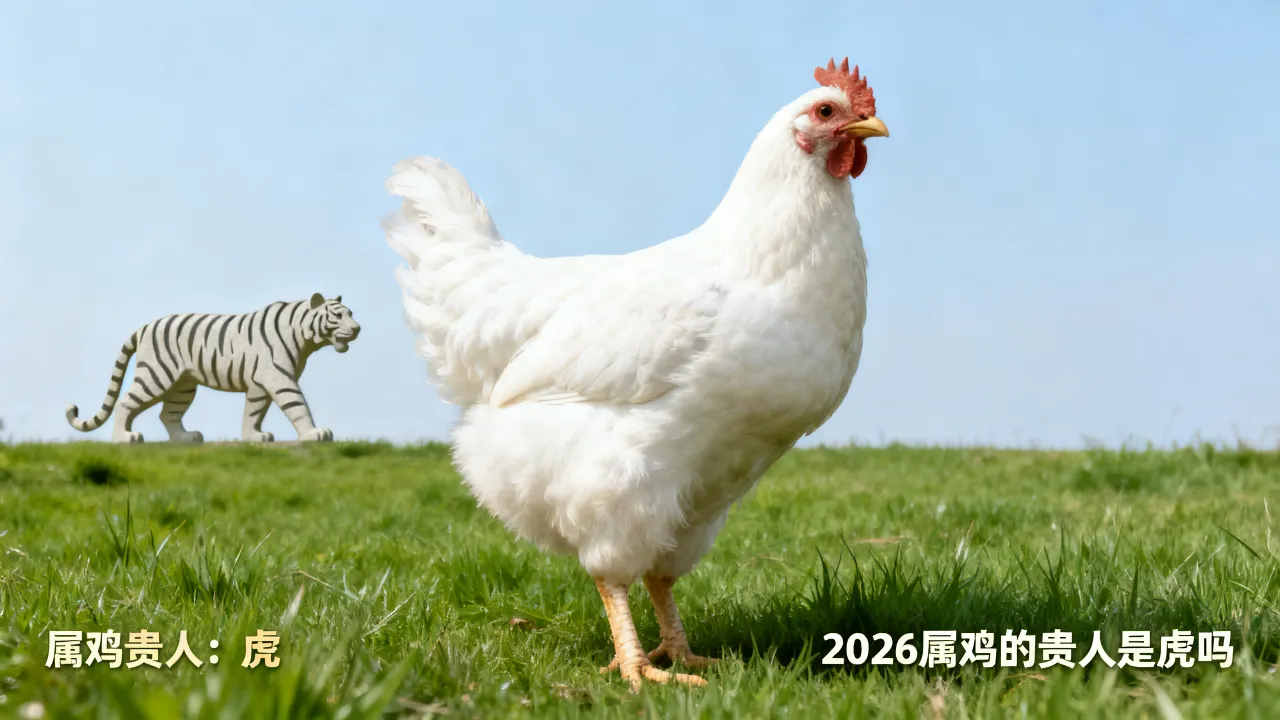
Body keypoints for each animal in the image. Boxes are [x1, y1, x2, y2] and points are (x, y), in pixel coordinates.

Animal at [66, 293, 360, 443]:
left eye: (351, 313)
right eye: (338, 315)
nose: (358, 328)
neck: (305, 338)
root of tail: (144, 326)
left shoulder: (260, 382)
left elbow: (253, 411)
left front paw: (254, 436)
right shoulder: (278, 377)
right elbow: (296, 405)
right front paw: (315, 434)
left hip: (183, 386)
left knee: (168, 414)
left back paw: (187, 437)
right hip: (157, 376)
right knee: (126, 402)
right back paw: (125, 438)